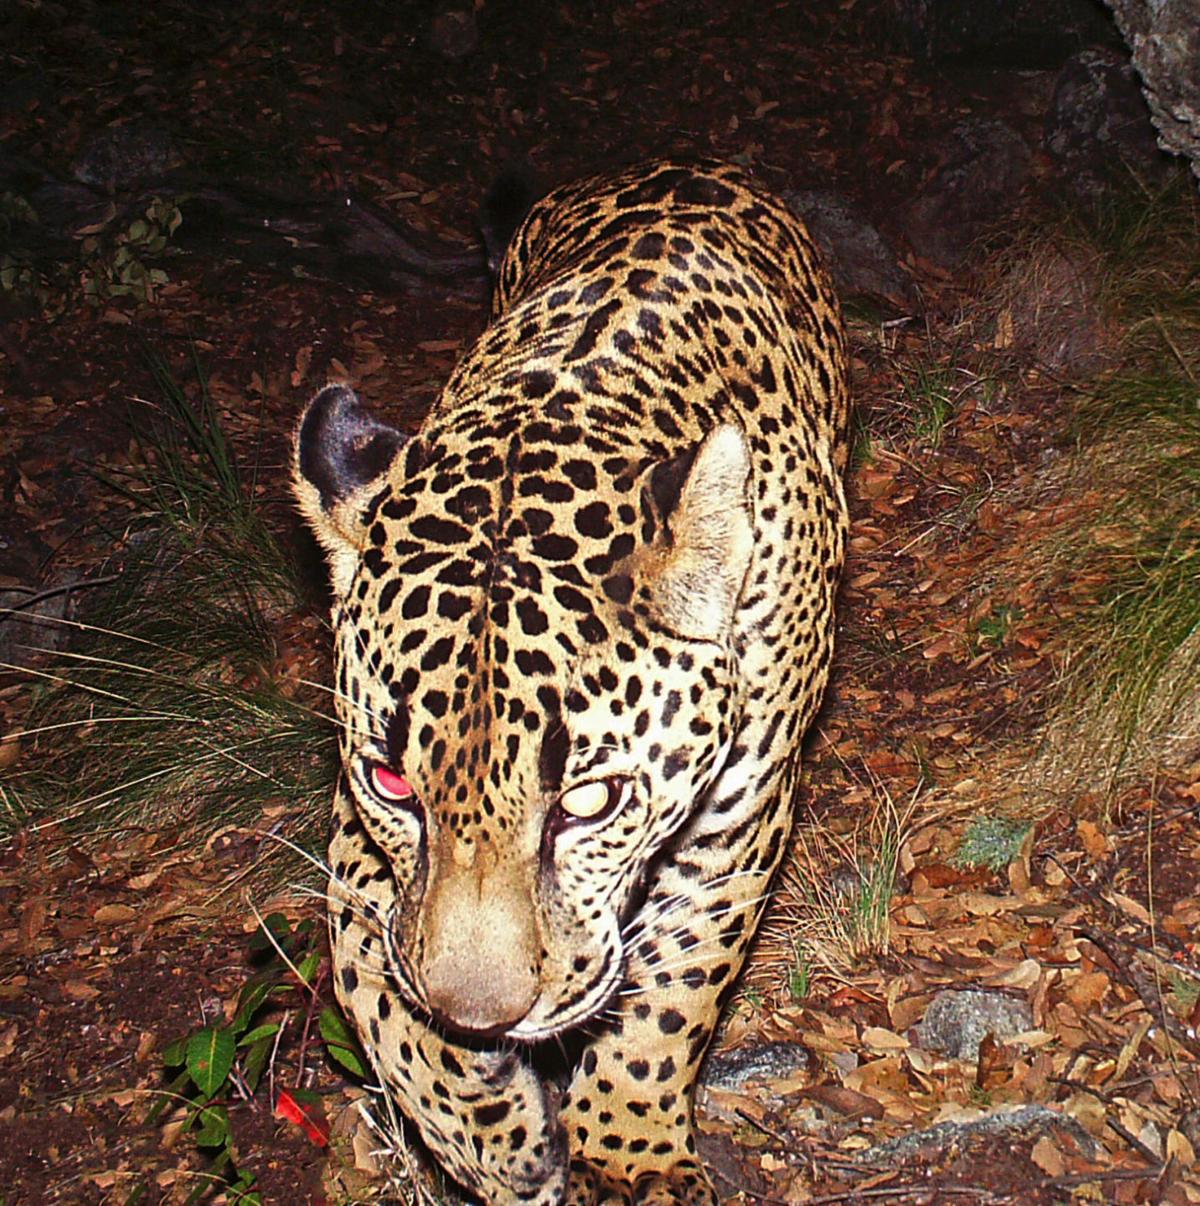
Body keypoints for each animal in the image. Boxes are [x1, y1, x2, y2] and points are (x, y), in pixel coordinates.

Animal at [292, 158, 849, 1204]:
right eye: (394, 785)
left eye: (590, 803)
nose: (483, 1018)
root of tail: (669, 160)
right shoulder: (355, 830)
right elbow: (373, 986)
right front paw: (493, 1135)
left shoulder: (741, 812)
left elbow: (673, 988)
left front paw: (627, 1153)